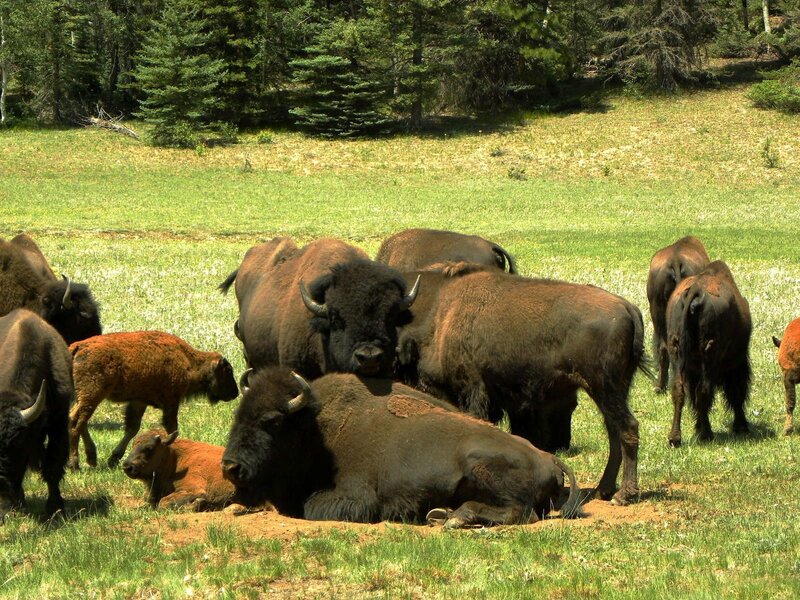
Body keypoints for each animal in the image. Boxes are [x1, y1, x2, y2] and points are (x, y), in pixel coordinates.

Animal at [0, 309, 74, 521]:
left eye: (16, 443)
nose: (0, 481)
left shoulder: (59, 423)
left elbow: (53, 466)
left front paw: (56, 508)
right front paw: (10, 507)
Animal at [222, 368, 580, 527]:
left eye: (271, 421)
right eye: (238, 415)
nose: (230, 467)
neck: (315, 430)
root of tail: (549, 458)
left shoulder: (356, 499)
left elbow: (314, 507)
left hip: (481, 466)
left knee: (520, 511)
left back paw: (456, 518)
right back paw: (442, 515)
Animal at [394, 263, 648, 505]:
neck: (442, 316)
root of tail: (627, 307)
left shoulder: (474, 391)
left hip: (604, 389)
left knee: (627, 428)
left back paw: (623, 495)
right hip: (614, 391)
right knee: (614, 432)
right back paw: (602, 490)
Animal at [666, 260, 751, 446]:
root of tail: (695, 291)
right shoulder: (737, 364)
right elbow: (736, 393)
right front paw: (741, 425)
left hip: (676, 354)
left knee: (679, 391)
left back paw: (675, 438)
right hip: (710, 356)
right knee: (703, 391)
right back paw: (706, 434)